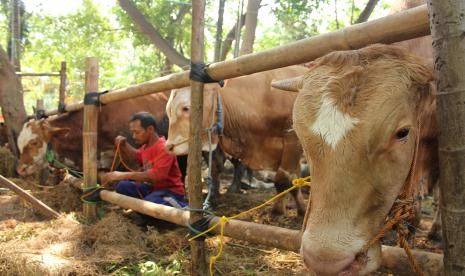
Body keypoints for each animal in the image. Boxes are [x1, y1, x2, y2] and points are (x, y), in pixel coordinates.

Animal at [164, 65, 308, 216]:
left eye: (186, 108)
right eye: (168, 110)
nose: (169, 146)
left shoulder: (293, 138)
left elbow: (284, 179)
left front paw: (278, 211)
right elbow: (295, 179)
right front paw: (301, 210)